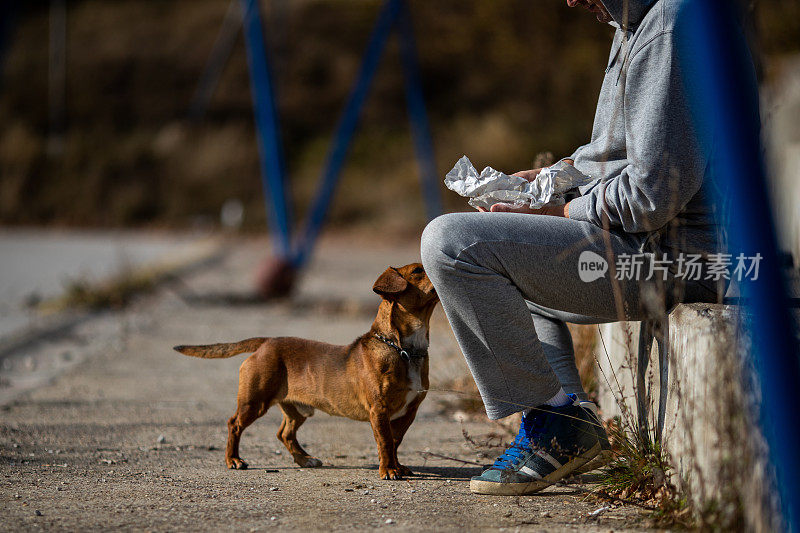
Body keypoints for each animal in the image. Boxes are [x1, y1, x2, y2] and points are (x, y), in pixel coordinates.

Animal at [172, 262, 440, 478]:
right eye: (418, 270)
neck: (403, 349)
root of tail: (266, 342)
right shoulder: (379, 410)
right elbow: (385, 442)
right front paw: (389, 470)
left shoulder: (409, 412)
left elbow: (395, 441)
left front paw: (397, 466)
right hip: (254, 401)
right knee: (234, 424)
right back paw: (234, 460)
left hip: (298, 409)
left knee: (285, 434)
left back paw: (304, 459)